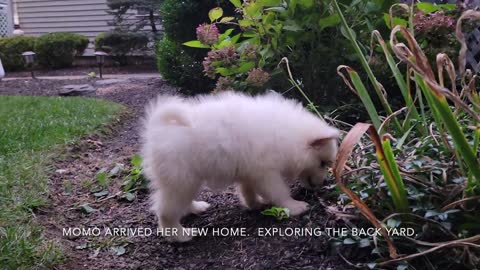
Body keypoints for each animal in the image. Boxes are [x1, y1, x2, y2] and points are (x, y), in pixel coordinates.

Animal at [141, 92, 340, 242]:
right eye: (322, 163)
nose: (323, 183)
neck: (288, 135)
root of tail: (157, 129)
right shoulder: (267, 174)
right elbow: (279, 192)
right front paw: (294, 206)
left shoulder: (250, 171)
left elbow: (247, 190)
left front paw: (255, 203)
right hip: (181, 181)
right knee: (165, 210)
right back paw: (180, 235)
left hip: (186, 181)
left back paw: (196, 207)